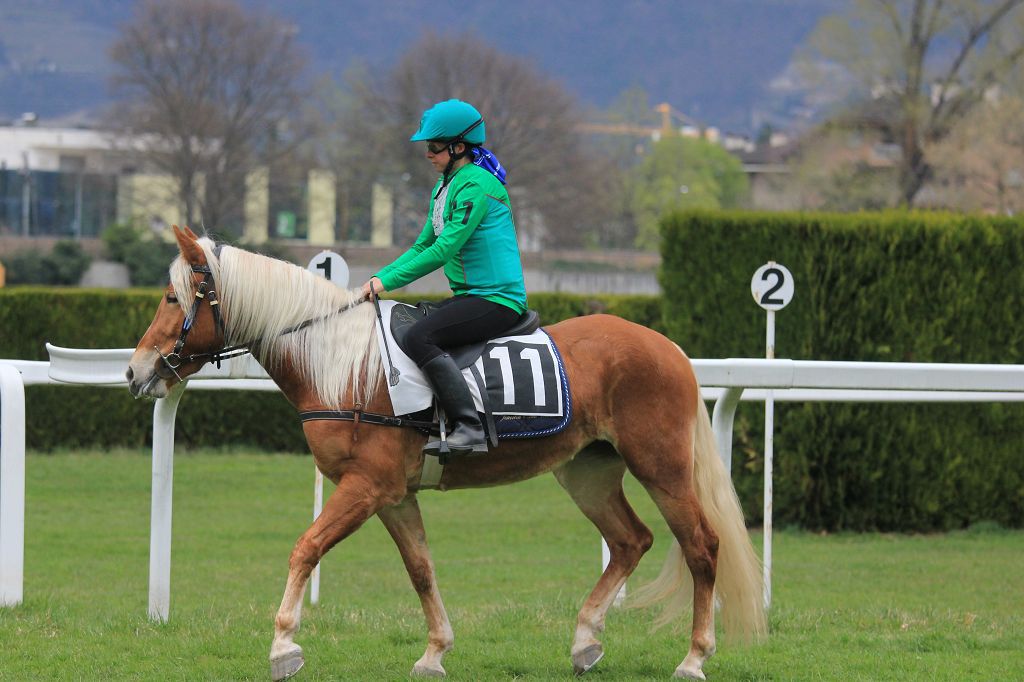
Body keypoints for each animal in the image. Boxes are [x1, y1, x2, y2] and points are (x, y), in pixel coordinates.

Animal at [126, 225, 766, 680]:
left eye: (172, 296)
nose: (135, 371)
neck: (341, 362)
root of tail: (669, 348)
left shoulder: (366, 488)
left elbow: (306, 548)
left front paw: (284, 643)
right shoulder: (392, 496)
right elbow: (421, 569)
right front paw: (435, 652)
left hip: (662, 469)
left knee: (701, 546)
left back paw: (694, 658)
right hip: (587, 473)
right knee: (631, 540)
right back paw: (586, 639)